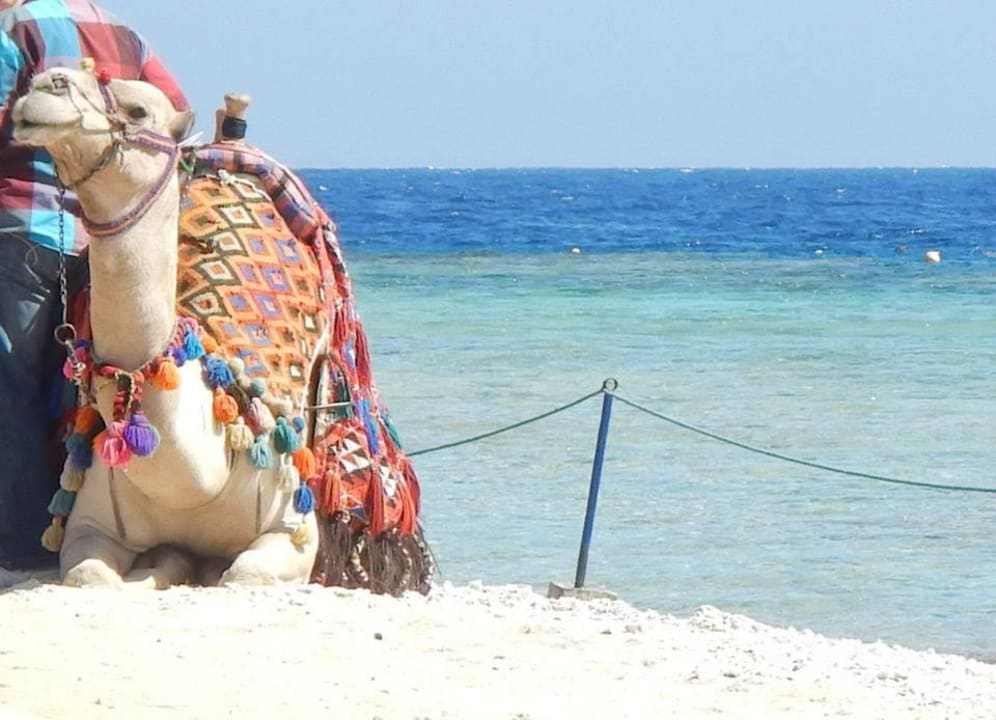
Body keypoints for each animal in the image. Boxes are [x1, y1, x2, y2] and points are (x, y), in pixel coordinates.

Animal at [11, 68, 320, 588]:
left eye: (138, 111)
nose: (47, 83)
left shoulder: (293, 526)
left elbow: (243, 573)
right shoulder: (91, 522)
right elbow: (90, 576)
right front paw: (163, 565)